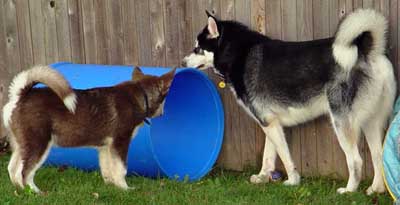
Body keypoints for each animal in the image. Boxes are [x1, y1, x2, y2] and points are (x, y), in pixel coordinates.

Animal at [2, 65, 175, 192]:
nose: (163, 113)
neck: (141, 94)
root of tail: (21, 95)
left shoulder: (105, 147)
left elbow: (107, 169)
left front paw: (112, 187)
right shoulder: (120, 142)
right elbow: (121, 169)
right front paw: (126, 189)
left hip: (21, 145)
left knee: (12, 169)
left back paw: (20, 191)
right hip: (39, 144)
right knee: (25, 172)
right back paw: (36, 193)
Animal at [184, 8, 396, 195]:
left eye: (197, 48)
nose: (182, 62)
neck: (238, 53)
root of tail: (368, 50)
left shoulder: (269, 122)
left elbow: (285, 156)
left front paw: (293, 181)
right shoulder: (269, 122)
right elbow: (268, 155)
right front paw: (263, 177)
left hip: (341, 122)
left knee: (356, 160)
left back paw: (349, 190)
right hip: (371, 122)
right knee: (378, 155)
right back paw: (376, 189)